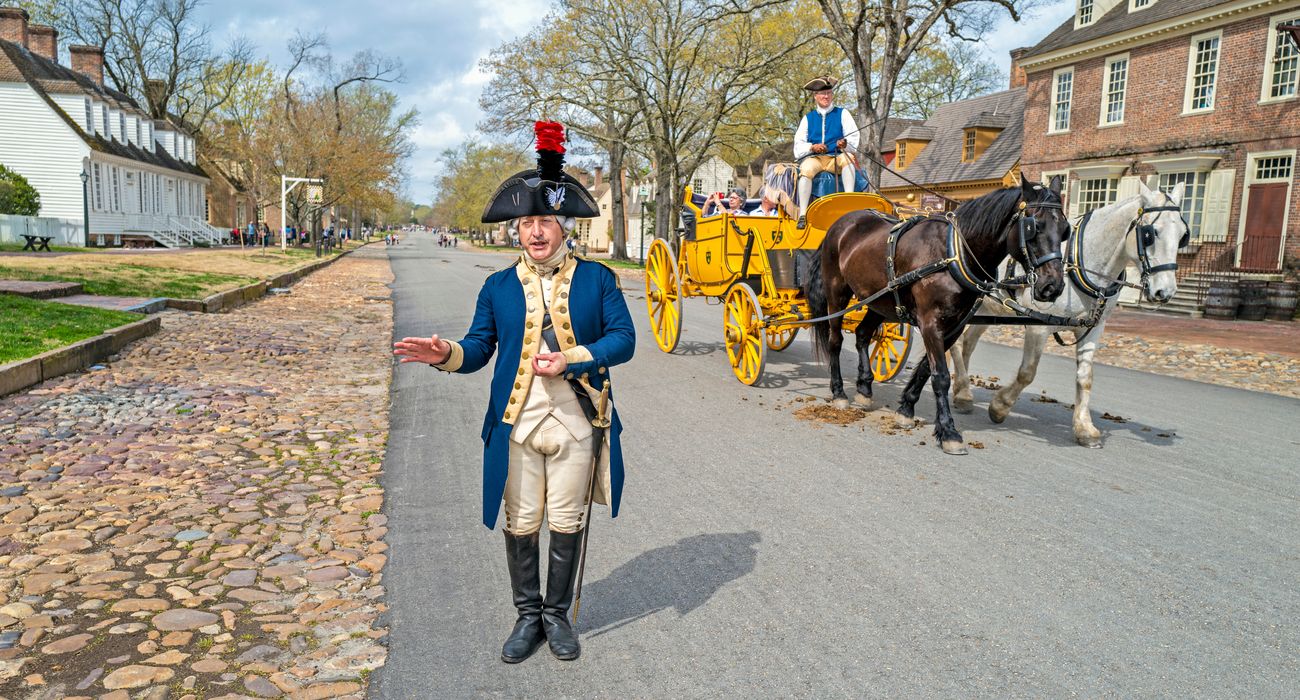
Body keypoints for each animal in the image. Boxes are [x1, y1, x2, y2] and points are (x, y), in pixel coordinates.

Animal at [806, 176, 1071, 455]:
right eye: (1034, 226)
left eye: (1065, 229)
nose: (1052, 287)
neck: (954, 253)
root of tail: (842, 222)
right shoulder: (930, 322)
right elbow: (941, 376)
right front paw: (948, 431)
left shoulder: (956, 324)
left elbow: (925, 370)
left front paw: (906, 409)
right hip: (837, 293)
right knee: (835, 341)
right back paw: (839, 393)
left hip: (880, 301)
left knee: (862, 335)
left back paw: (865, 388)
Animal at [946, 179, 1190, 447]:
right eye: (1150, 233)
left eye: (1183, 235)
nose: (1165, 291)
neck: (1079, 264)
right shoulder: (1039, 327)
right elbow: (1027, 373)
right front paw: (1000, 407)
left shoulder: (1094, 328)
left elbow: (1085, 377)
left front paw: (1084, 428)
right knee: (957, 344)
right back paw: (964, 391)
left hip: (989, 308)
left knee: (967, 343)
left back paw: (961, 392)